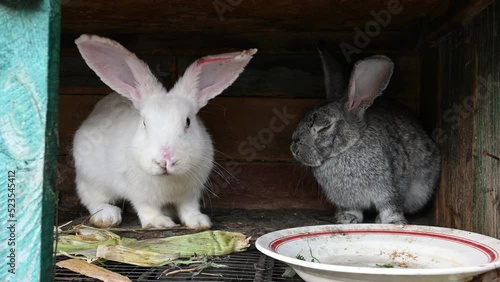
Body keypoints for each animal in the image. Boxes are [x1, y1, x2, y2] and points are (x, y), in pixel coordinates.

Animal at [72, 35, 256, 229]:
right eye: (144, 123)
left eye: (188, 121)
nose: (165, 160)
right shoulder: (140, 194)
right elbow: (147, 209)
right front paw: (159, 223)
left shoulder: (190, 194)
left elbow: (189, 208)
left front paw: (198, 222)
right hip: (91, 177)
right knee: (92, 198)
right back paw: (107, 216)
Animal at [292, 43, 440, 225]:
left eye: (324, 127)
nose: (294, 147)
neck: (349, 146)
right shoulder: (348, 201)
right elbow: (352, 210)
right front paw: (347, 219)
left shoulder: (389, 191)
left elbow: (391, 207)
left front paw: (393, 222)